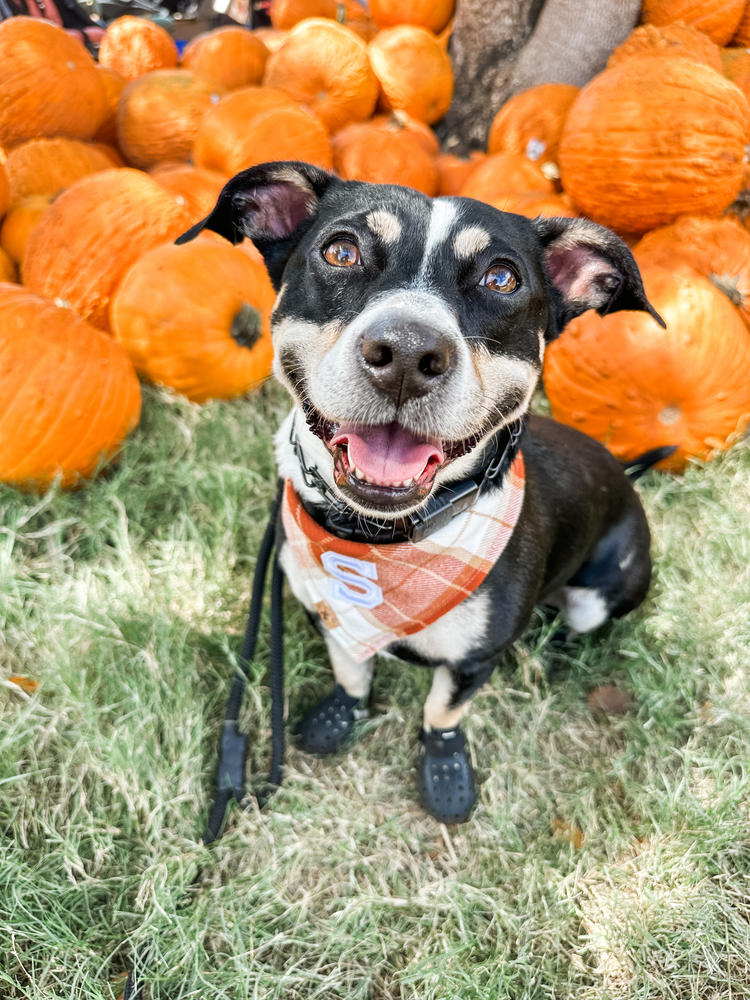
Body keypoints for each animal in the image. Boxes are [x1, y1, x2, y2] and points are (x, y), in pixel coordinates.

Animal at [178, 162, 668, 820]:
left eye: (501, 278)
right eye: (341, 251)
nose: (408, 353)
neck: (380, 540)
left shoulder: (471, 662)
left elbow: (441, 710)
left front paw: (444, 767)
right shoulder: (330, 615)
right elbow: (351, 671)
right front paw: (341, 713)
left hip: (604, 589)